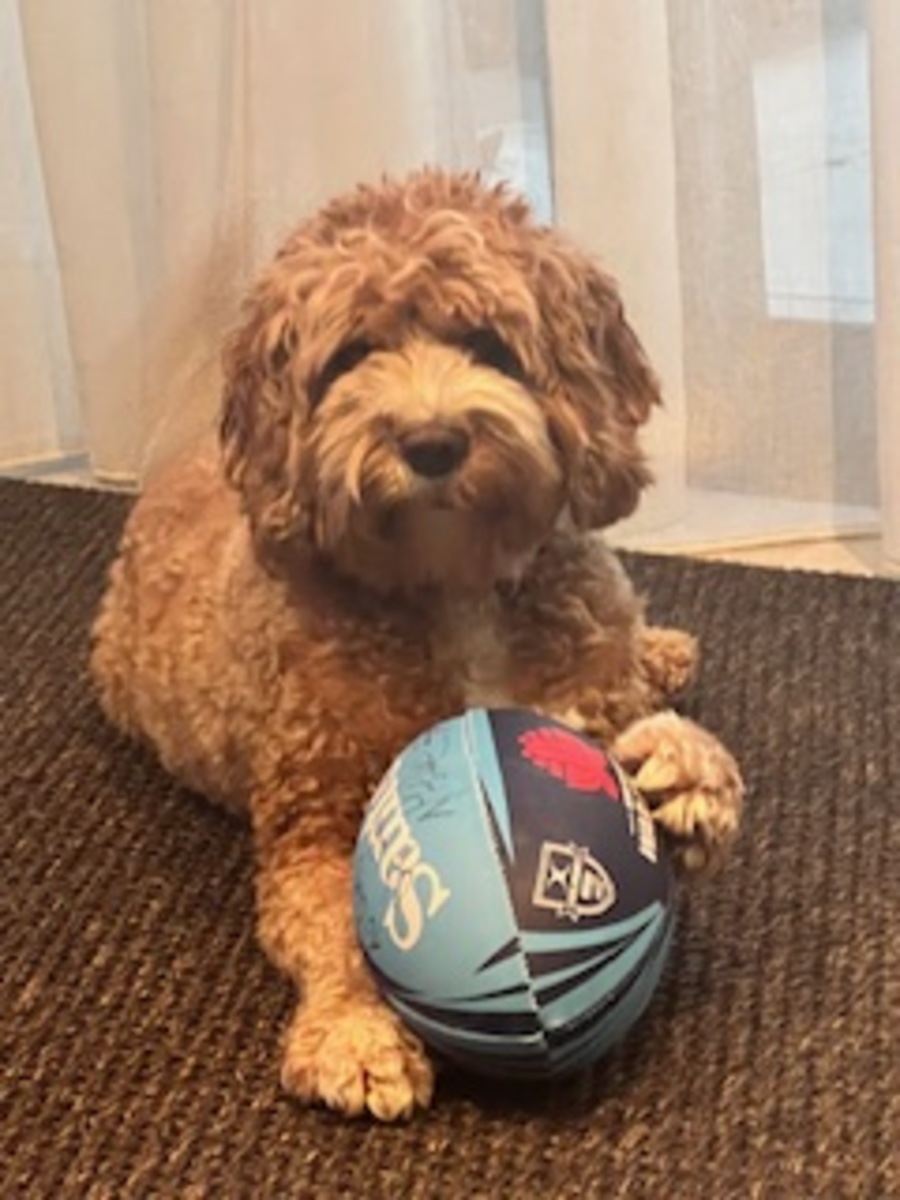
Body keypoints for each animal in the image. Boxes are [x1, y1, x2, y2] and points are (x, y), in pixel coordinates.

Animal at [91, 168, 743, 1121]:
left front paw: (685, 775)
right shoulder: (310, 827)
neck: (451, 582)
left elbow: (659, 746)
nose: (432, 442)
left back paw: (665, 653)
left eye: (487, 343)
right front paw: (356, 1033)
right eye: (353, 354)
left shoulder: (588, 671)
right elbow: (334, 926)